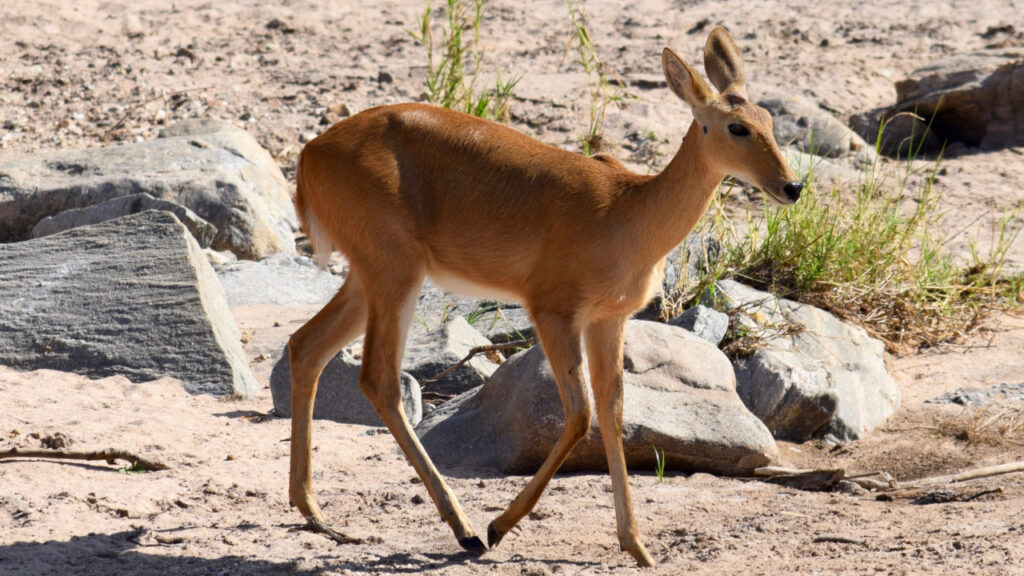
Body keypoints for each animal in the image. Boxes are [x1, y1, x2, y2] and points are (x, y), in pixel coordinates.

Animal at [286, 26, 798, 565]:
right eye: (736, 126)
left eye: (768, 120)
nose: (793, 186)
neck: (627, 210)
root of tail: (310, 153)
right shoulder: (554, 313)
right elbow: (580, 414)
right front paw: (498, 527)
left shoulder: (608, 320)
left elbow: (613, 411)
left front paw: (637, 546)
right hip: (394, 275)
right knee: (378, 379)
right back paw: (465, 530)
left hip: (368, 279)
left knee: (306, 347)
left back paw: (316, 514)